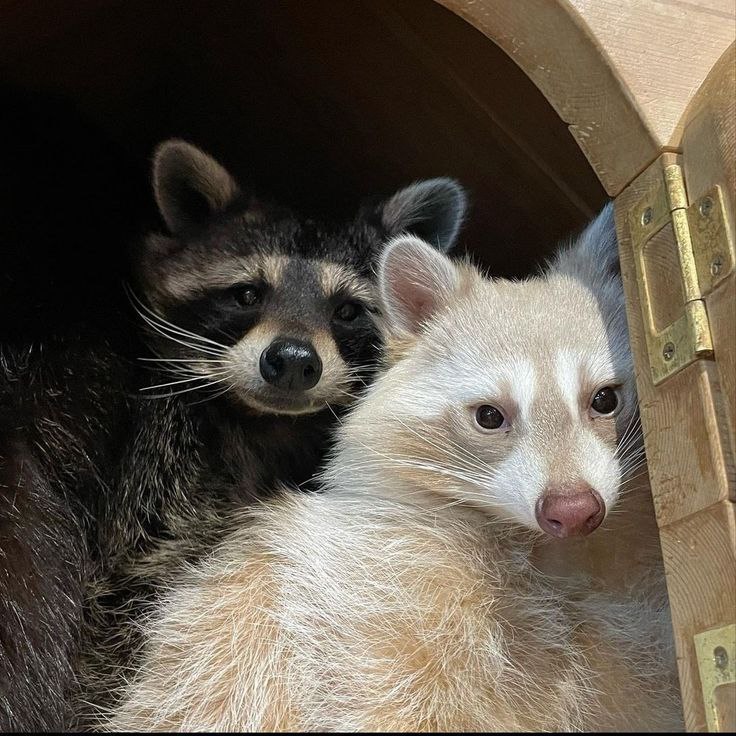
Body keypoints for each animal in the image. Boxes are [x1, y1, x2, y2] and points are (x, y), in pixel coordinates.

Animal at [0, 139, 467, 730]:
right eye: (247, 294)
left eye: (347, 311)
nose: (292, 360)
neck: (266, 422)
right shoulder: (160, 456)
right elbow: (123, 588)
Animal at [103, 206, 682, 732]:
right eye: (489, 416)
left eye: (604, 400)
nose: (574, 510)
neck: (545, 549)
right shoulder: (370, 590)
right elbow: (382, 695)